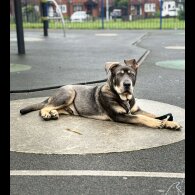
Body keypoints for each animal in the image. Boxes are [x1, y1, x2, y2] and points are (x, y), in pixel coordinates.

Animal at [19, 58, 181, 130]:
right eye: (119, 74)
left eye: (131, 74)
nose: (127, 84)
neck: (122, 97)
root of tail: (56, 91)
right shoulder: (119, 116)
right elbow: (142, 118)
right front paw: (157, 123)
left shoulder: (135, 110)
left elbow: (153, 114)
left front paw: (171, 123)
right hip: (69, 93)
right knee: (43, 107)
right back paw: (47, 114)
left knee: (53, 107)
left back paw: (53, 113)